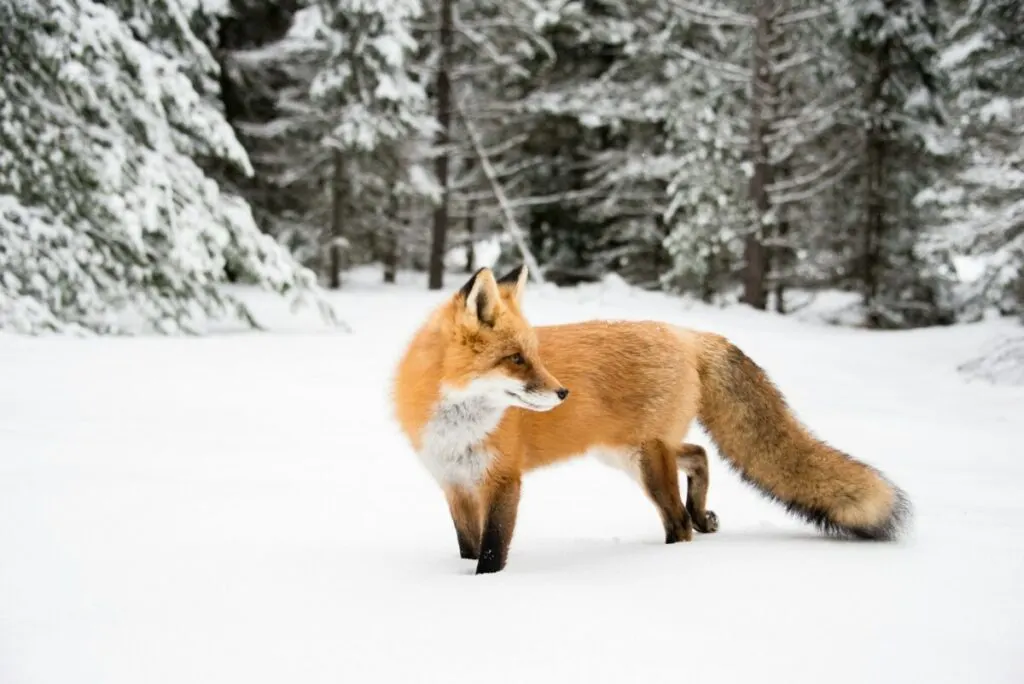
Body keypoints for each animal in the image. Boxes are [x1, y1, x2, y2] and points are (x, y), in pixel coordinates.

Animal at [391, 264, 911, 575]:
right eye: (516, 359)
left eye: (534, 356)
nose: (562, 392)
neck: (457, 426)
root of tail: (686, 334)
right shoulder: (455, 484)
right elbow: (467, 545)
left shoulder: (503, 481)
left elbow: (492, 550)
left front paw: (484, 589)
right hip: (627, 453)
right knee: (699, 454)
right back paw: (703, 514)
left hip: (645, 460)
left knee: (678, 521)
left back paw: (669, 554)